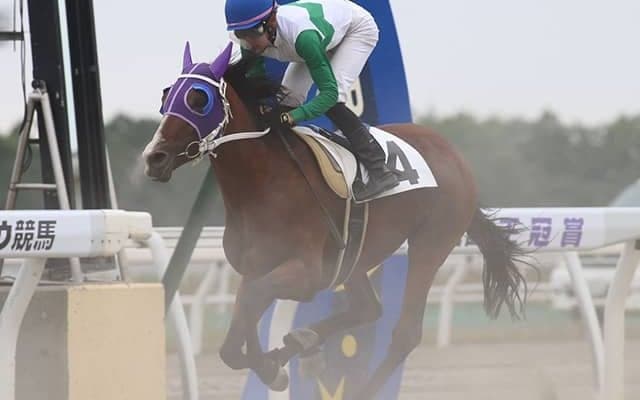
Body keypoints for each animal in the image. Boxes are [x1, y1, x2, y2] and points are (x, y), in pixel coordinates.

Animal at [142, 42, 529, 400]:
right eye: (166, 96)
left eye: (199, 99)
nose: (154, 157)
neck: (264, 184)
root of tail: (454, 156)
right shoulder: (257, 265)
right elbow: (239, 326)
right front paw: (273, 363)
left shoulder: (307, 272)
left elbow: (250, 301)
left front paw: (271, 367)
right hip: (355, 256)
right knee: (368, 307)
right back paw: (303, 339)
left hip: (431, 243)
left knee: (405, 333)